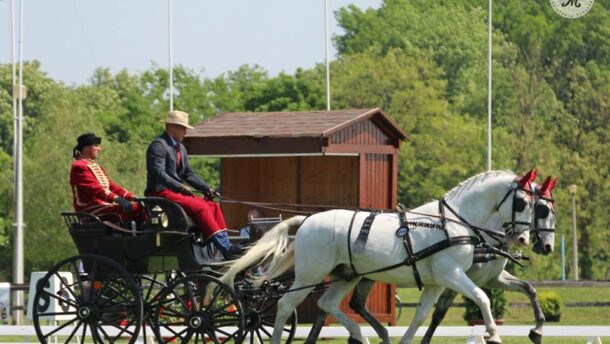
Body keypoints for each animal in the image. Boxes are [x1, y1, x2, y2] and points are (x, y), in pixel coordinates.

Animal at [221, 170, 536, 344]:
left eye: (537, 205)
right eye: (523, 202)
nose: (523, 239)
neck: (452, 223)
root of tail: (307, 220)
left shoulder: (437, 282)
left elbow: (421, 315)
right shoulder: (453, 275)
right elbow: (482, 298)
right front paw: (493, 333)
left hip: (346, 275)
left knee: (328, 303)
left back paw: (361, 335)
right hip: (310, 274)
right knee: (286, 305)